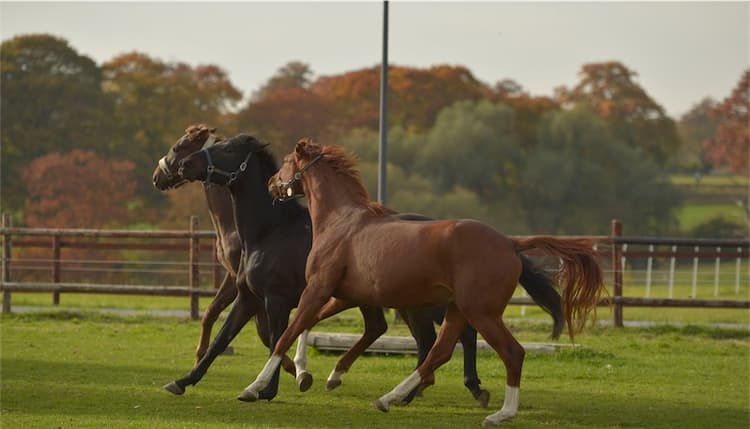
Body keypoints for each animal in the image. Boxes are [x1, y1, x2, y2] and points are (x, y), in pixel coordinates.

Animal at [176, 133, 565, 406]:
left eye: (227, 150)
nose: (184, 166)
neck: (270, 231)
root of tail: (507, 243)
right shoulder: (251, 297)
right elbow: (226, 338)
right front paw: (183, 381)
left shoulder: (283, 298)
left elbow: (278, 337)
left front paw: (270, 385)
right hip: (410, 303)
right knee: (421, 338)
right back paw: (402, 388)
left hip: (436, 304)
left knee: (452, 338)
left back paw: (452, 389)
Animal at [240, 139, 606, 426]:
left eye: (286, 162)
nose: (272, 183)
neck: (340, 222)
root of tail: (509, 243)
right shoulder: (342, 296)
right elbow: (307, 327)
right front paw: (321, 375)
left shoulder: (318, 290)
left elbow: (285, 335)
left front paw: (253, 388)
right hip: (458, 310)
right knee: (440, 351)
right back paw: (389, 398)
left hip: (480, 312)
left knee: (510, 352)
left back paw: (500, 414)